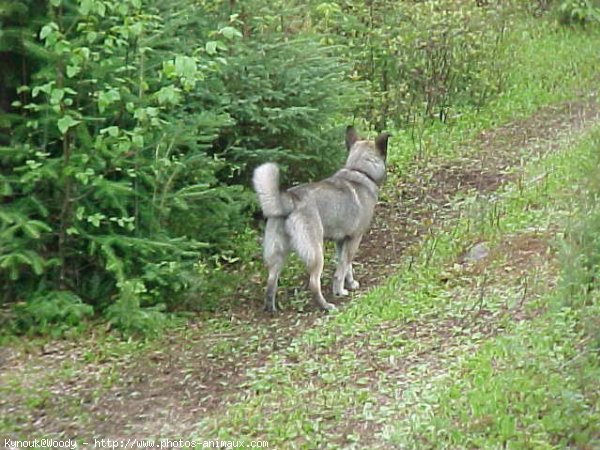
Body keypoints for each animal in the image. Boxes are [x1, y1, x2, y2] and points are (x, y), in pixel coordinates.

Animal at [252, 125, 390, 312]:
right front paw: (340, 290)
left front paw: (350, 283)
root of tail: (289, 200)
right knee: (313, 282)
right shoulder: (355, 239)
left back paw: (271, 308)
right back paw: (326, 306)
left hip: (277, 254)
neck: (359, 171)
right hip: (316, 253)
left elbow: (346, 266)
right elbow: (342, 268)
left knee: (271, 280)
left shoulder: (342, 241)